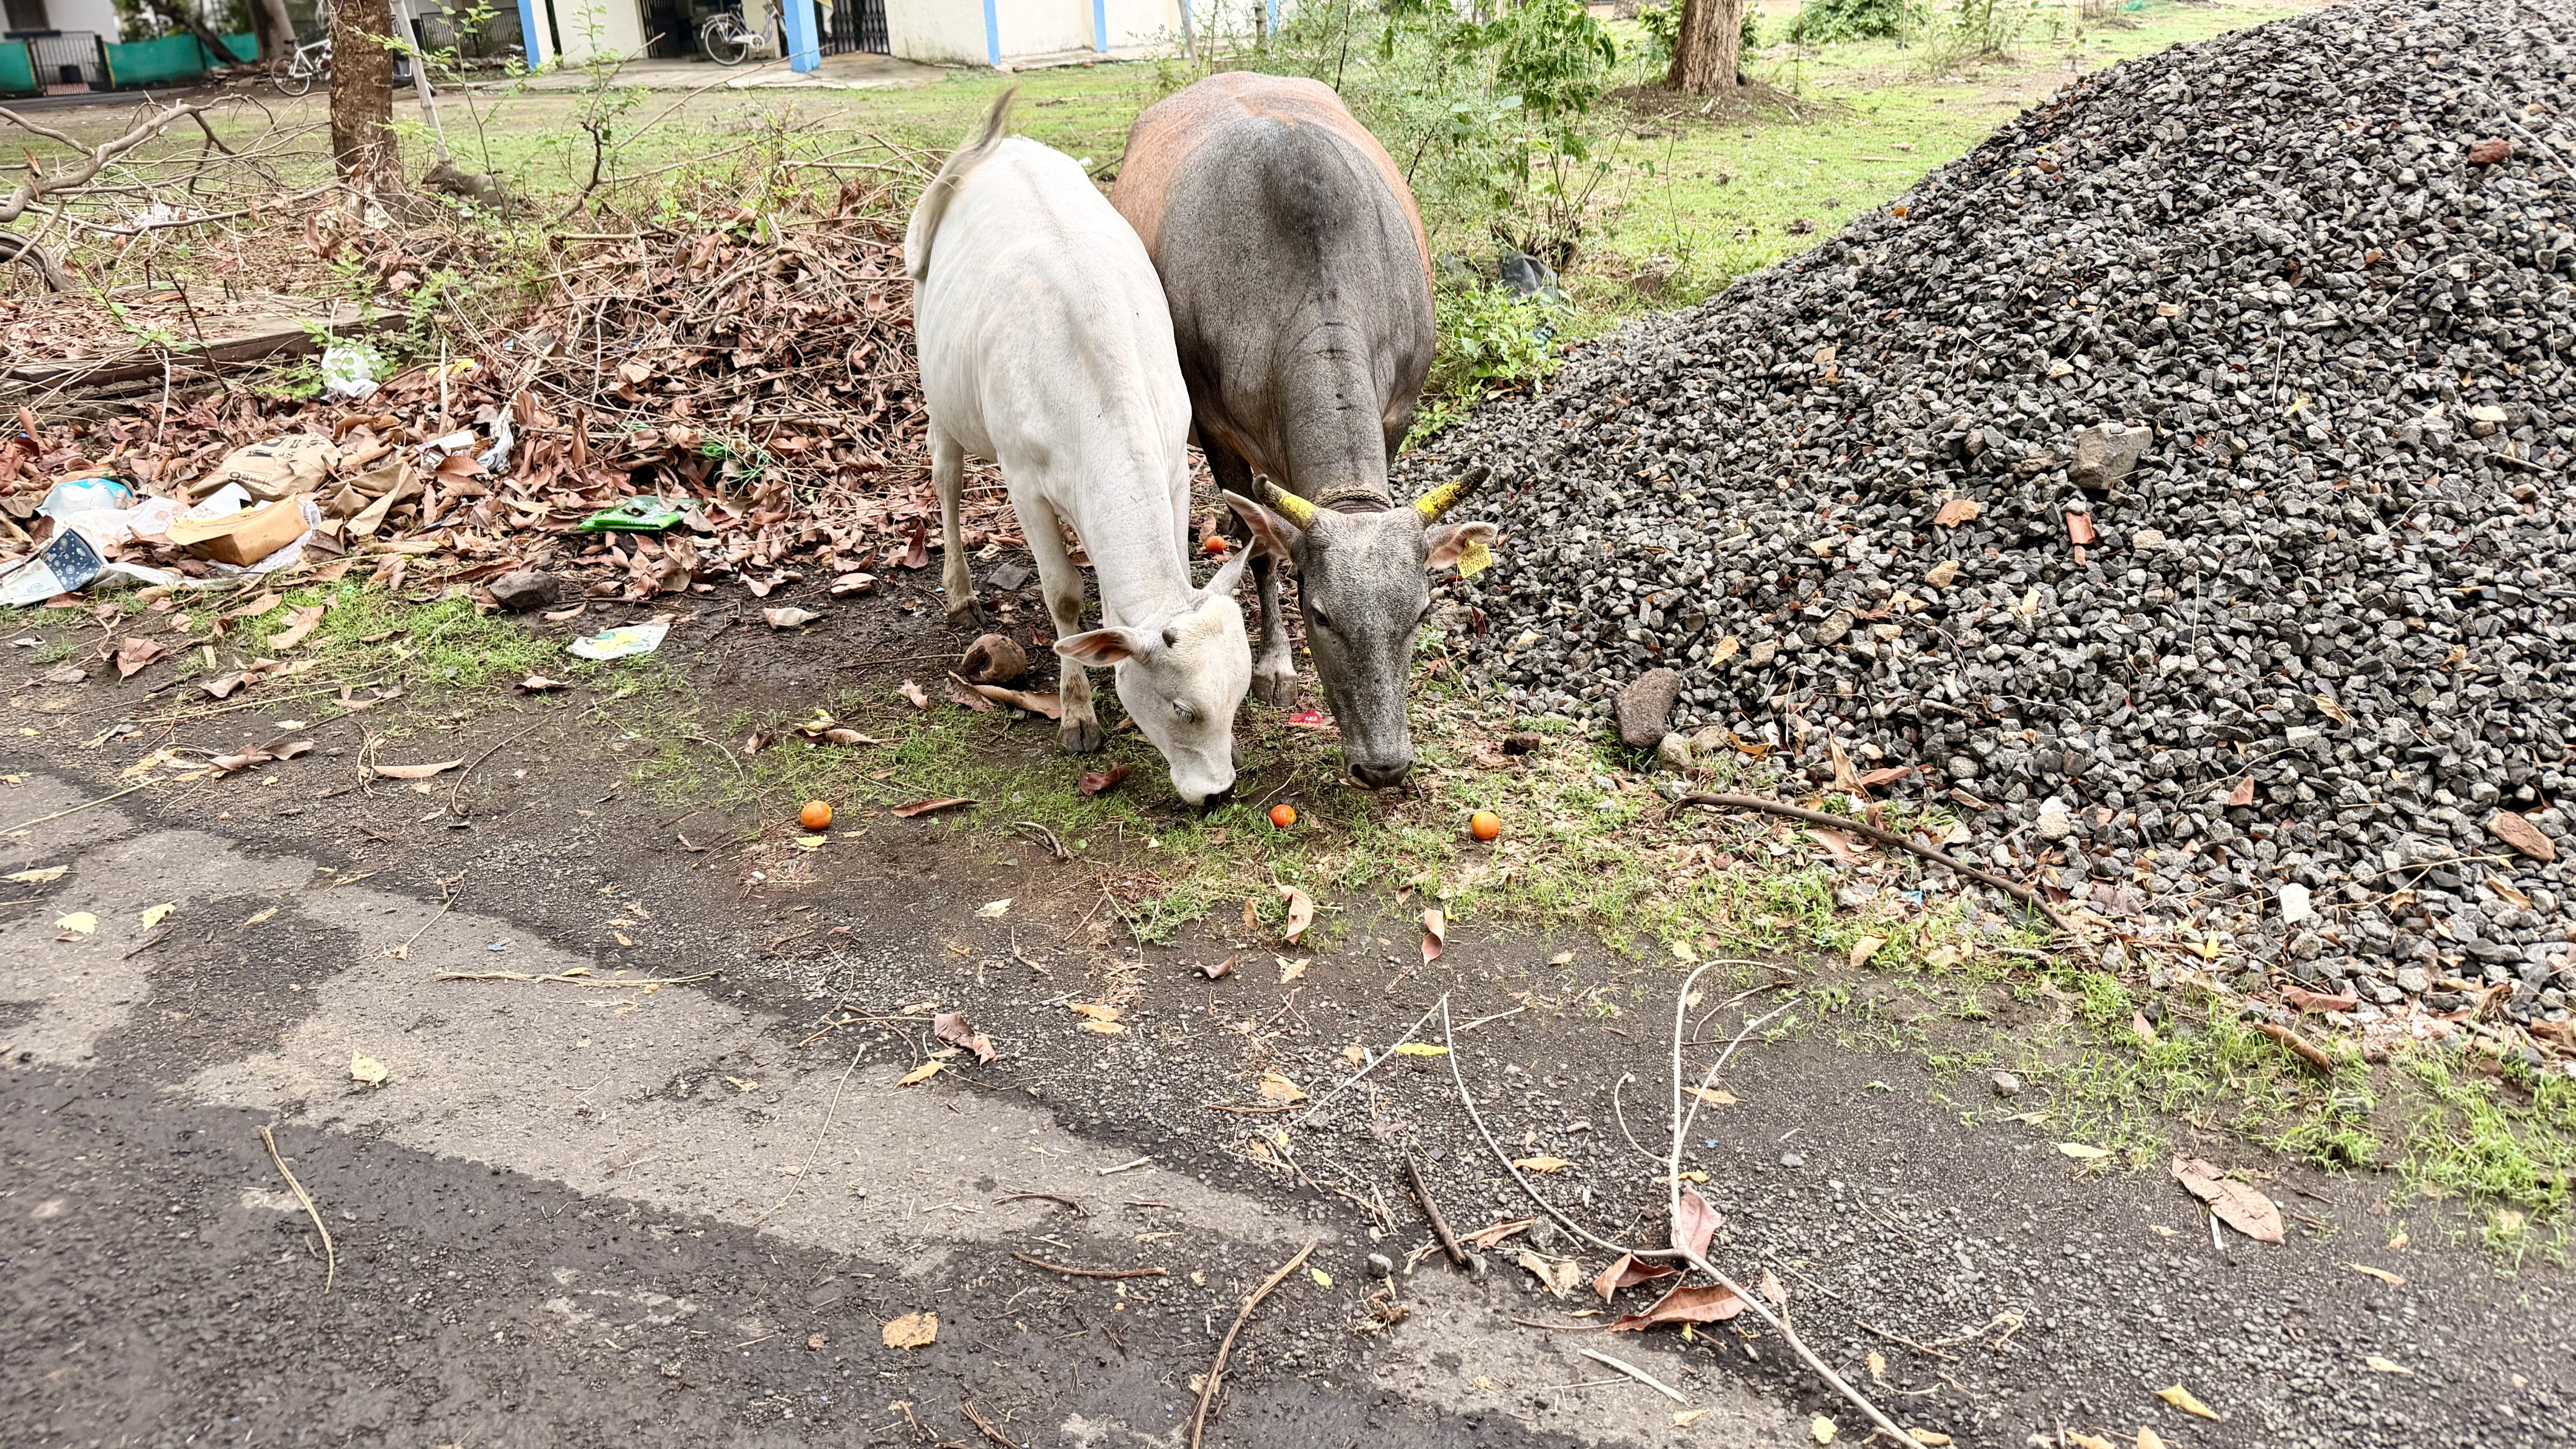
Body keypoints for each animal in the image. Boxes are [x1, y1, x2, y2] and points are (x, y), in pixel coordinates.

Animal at [907, 92, 1254, 808]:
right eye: (1182, 709)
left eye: (1240, 696)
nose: (1217, 794)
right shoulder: (1023, 482)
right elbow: (1063, 594)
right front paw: (1077, 713)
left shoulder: (1175, 468)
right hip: (940, 389)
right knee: (947, 477)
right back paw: (958, 589)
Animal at [1112, 72, 1498, 791]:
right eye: (1321, 615)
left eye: (1420, 612)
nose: (1383, 766)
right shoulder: (1217, 429)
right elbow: (1260, 549)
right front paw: (1275, 664)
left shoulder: (1399, 411)